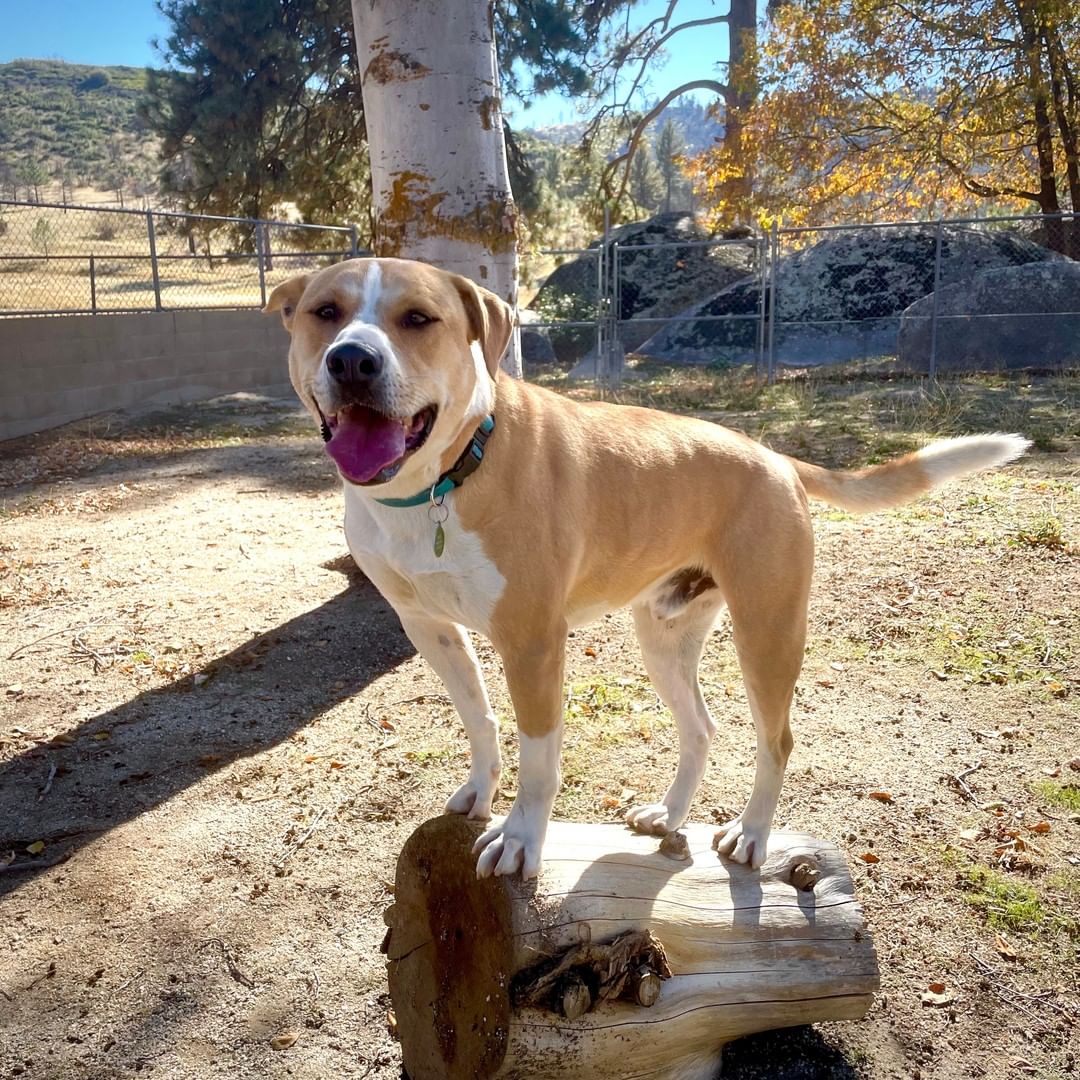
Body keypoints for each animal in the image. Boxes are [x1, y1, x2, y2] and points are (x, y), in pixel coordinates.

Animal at [267, 259, 1028, 876]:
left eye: (419, 319)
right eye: (325, 312)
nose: (352, 361)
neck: (442, 481)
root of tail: (776, 457)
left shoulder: (533, 644)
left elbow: (540, 759)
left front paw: (521, 839)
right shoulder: (429, 628)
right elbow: (479, 718)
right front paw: (481, 793)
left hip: (767, 633)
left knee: (776, 740)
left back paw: (752, 835)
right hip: (664, 637)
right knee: (701, 728)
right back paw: (670, 815)